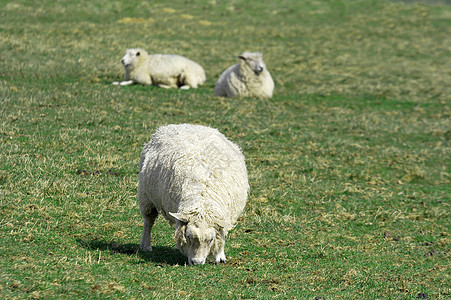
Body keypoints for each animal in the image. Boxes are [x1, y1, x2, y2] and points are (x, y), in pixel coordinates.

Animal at [139, 122, 251, 264]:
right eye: (188, 236)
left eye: (210, 239)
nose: (196, 262)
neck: (203, 198)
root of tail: (184, 125)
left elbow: (221, 237)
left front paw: (219, 256)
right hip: (145, 195)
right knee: (149, 220)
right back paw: (146, 245)